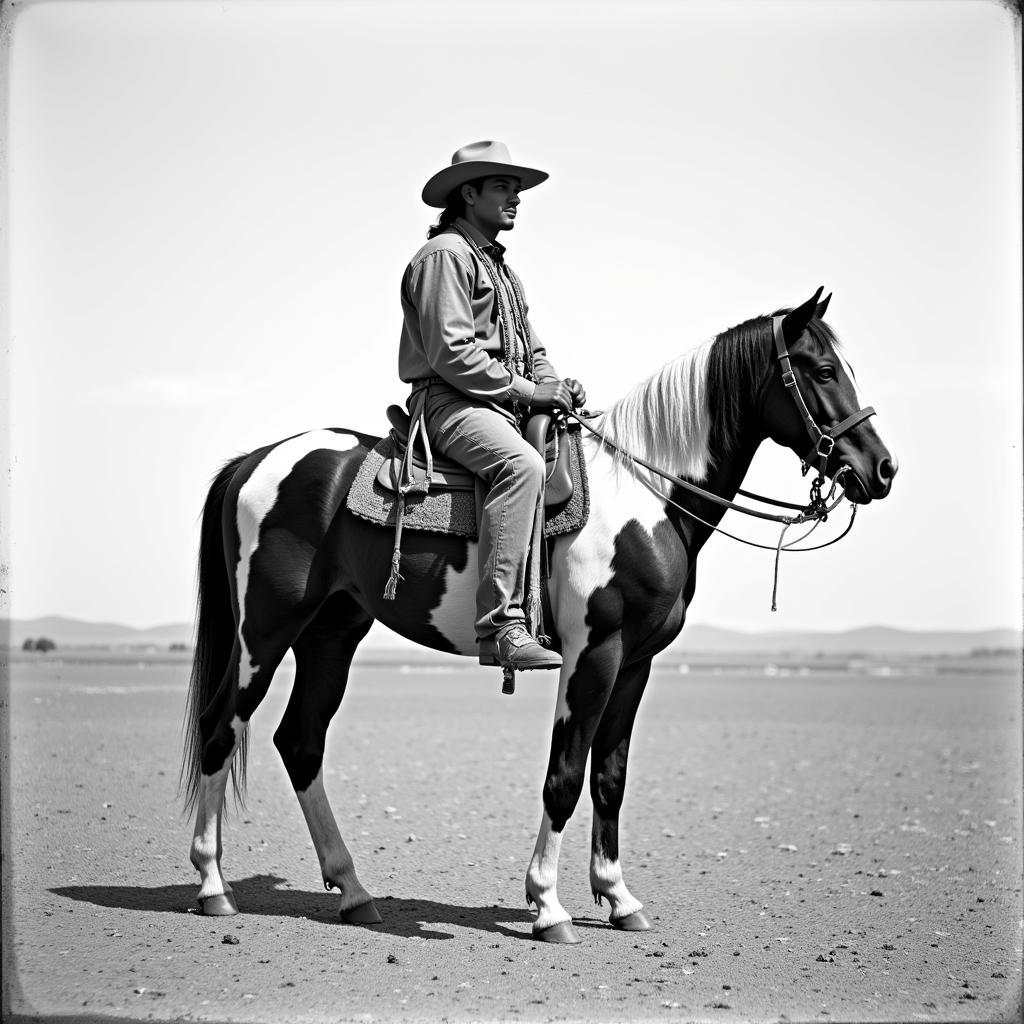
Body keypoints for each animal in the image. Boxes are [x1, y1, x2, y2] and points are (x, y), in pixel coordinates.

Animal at [182, 288, 897, 942]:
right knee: (221, 728)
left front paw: (619, 898)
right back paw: (215, 887)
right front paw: (549, 906)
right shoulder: (593, 654)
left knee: (300, 742)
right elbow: (565, 775)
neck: (644, 498)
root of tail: (255, 461)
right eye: (822, 370)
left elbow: (609, 777)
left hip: (331, 633)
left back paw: (354, 891)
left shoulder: (635, 663)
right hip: (264, 630)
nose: (882, 467)